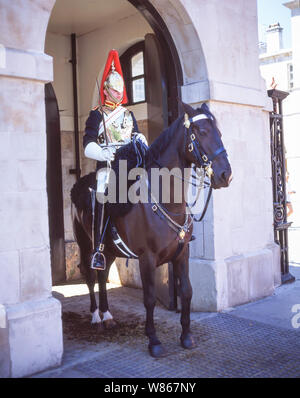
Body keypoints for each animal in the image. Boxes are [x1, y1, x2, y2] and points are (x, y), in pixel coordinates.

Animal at [70, 102, 232, 358]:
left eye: (219, 132)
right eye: (202, 131)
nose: (226, 174)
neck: (166, 199)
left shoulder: (182, 254)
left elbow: (187, 291)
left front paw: (186, 336)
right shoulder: (147, 258)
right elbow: (149, 298)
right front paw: (154, 341)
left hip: (109, 250)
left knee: (103, 276)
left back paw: (107, 315)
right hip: (87, 246)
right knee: (90, 276)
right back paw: (96, 316)